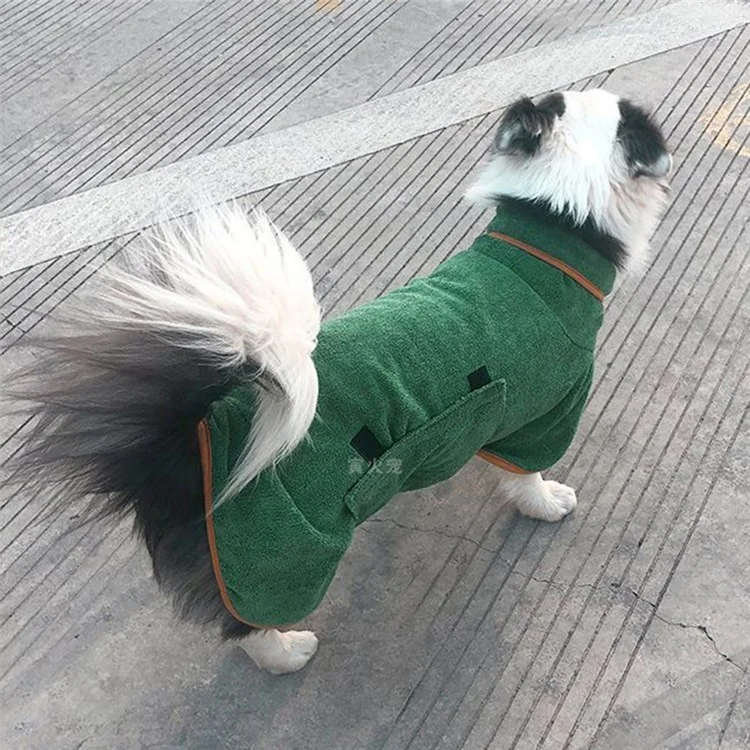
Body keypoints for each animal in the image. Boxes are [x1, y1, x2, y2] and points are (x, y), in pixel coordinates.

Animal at [4, 88, 676, 676]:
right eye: (630, 119)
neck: (552, 234)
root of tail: (192, 439)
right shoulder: (551, 408)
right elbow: (528, 473)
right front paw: (545, 502)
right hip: (283, 556)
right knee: (246, 628)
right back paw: (287, 653)